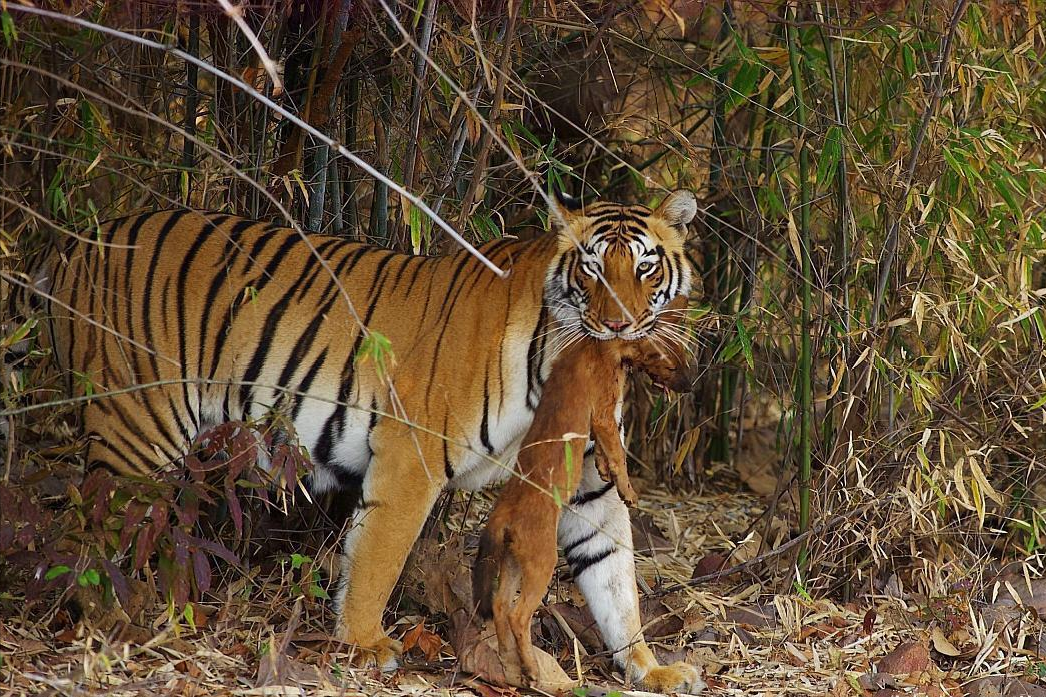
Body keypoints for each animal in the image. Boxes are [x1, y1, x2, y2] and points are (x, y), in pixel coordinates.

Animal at [32, 188, 702, 690]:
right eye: (591, 268)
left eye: (644, 267)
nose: (618, 325)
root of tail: (77, 240)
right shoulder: (412, 455)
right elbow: (378, 555)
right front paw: (364, 644)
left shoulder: (588, 483)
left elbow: (615, 577)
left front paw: (651, 668)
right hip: (137, 425)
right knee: (90, 532)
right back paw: (116, 625)